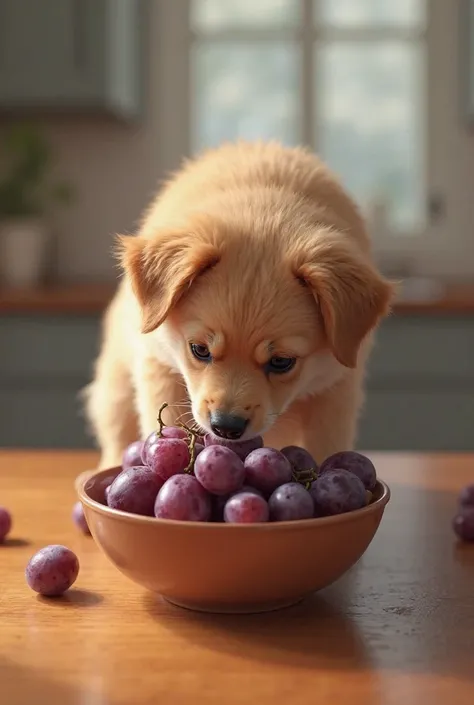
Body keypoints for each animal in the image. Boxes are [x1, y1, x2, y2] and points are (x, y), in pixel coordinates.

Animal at [84, 140, 392, 468]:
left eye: (282, 362)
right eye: (199, 349)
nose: (226, 427)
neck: (264, 210)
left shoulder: (335, 389)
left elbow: (325, 446)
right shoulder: (159, 365)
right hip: (116, 385)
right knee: (117, 430)